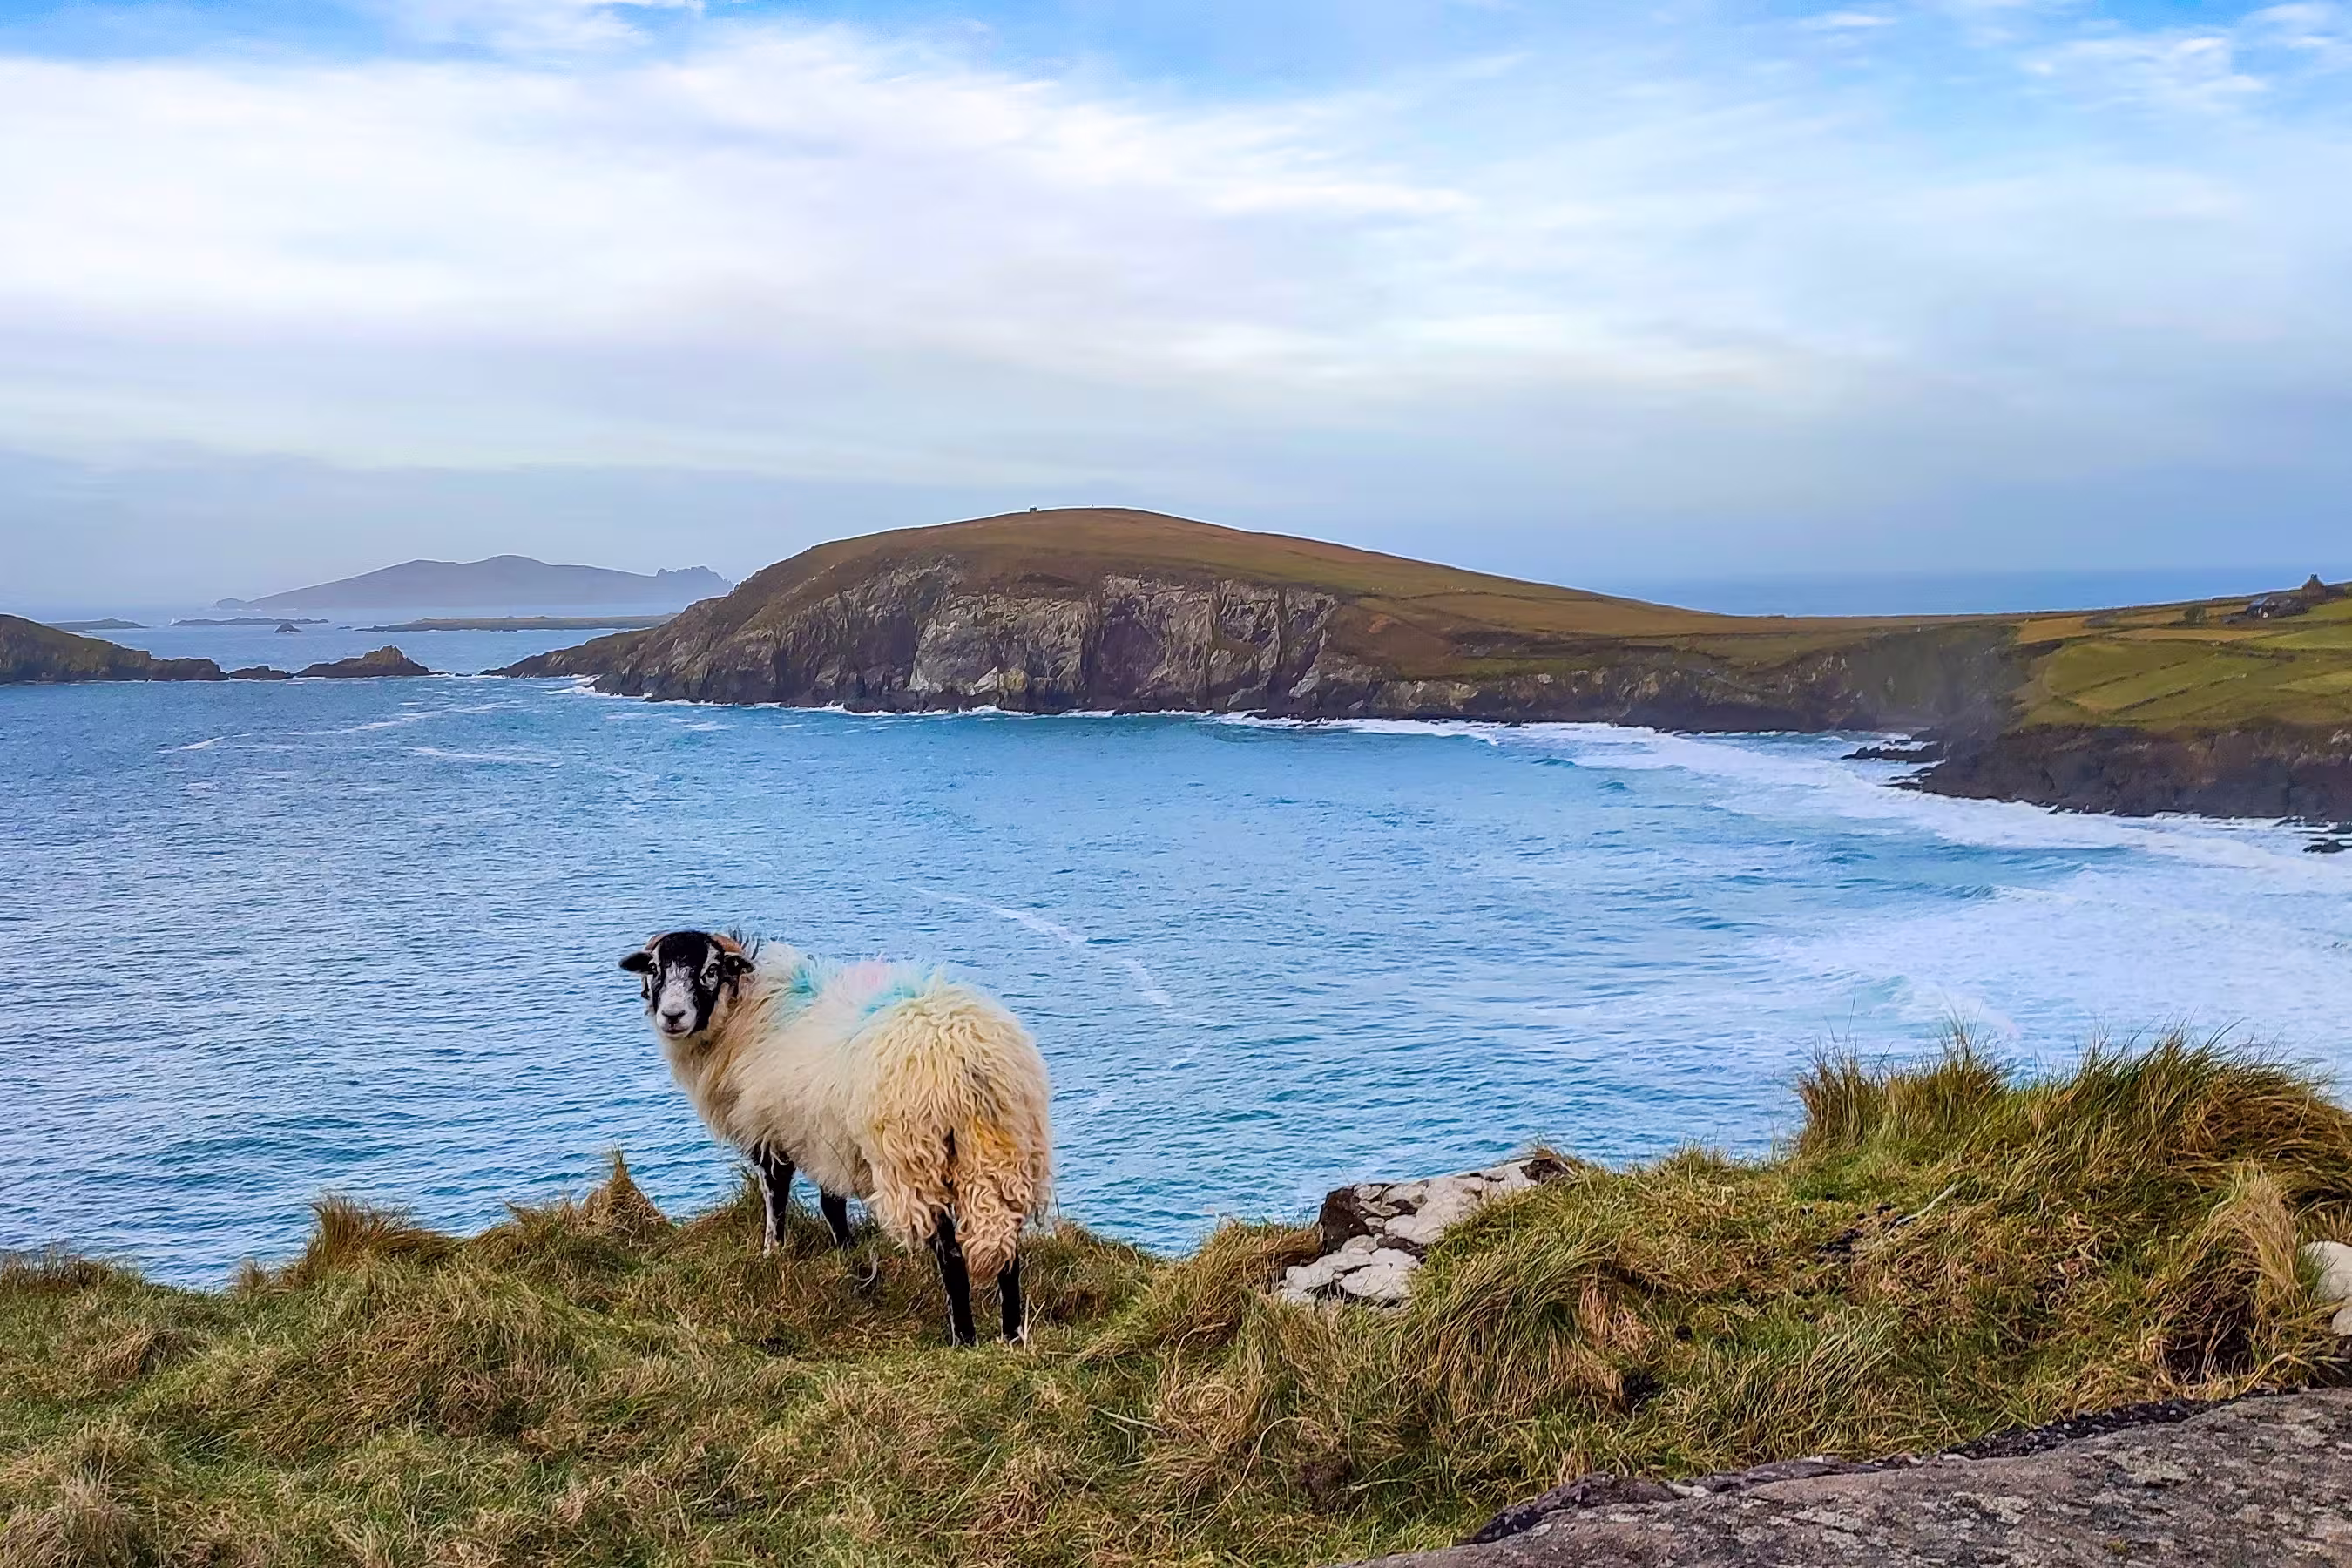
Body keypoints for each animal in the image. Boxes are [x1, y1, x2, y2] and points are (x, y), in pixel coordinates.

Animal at [619, 929, 1053, 1345]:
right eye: (655, 969)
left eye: (710, 970)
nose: (672, 1016)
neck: (749, 1015)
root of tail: (968, 1058)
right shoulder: (827, 1138)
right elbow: (832, 1204)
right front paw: (849, 1256)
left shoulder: (772, 1132)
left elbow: (776, 1195)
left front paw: (772, 1252)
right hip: (1005, 1152)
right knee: (1008, 1248)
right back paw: (1011, 1333)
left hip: (914, 1160)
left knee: (951, 1252)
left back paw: (963, 1337)